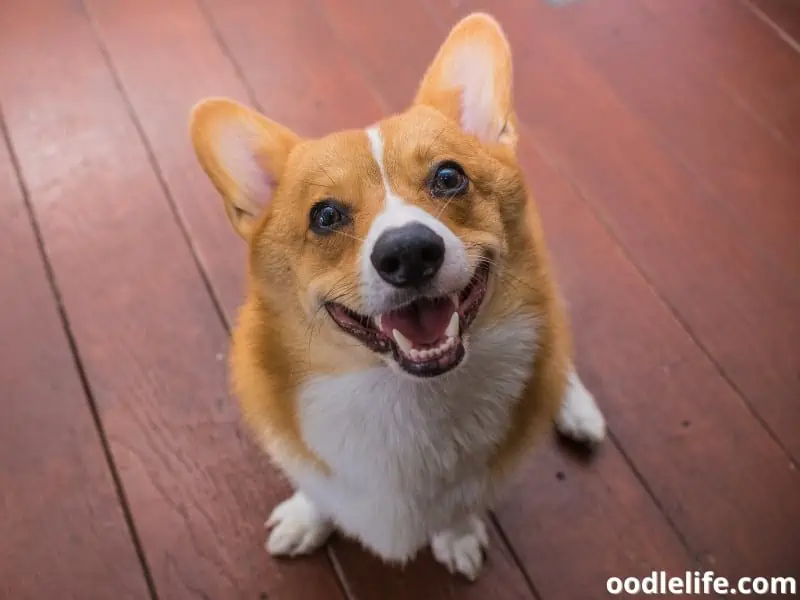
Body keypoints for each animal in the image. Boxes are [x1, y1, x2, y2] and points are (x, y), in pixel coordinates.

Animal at [191, 11, 604, 580]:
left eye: (449, 176)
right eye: (325, 215)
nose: (409, 253)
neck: (405, 395)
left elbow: (461, 505)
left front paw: (458, 535)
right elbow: (320, 491)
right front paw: (306, 517)